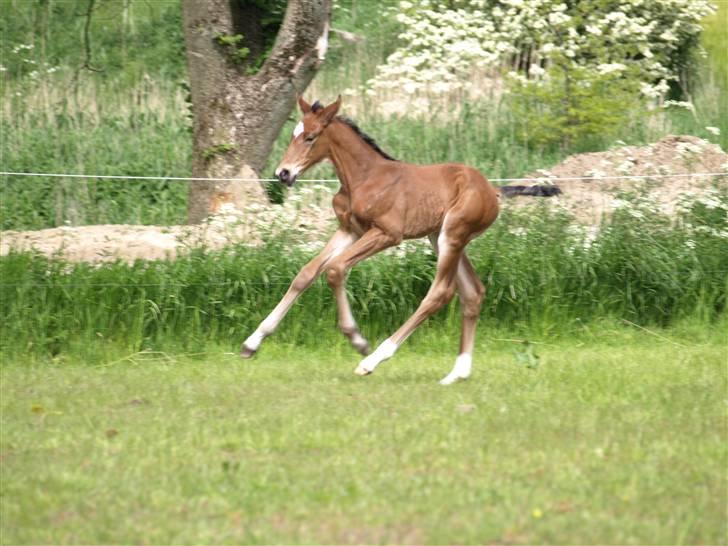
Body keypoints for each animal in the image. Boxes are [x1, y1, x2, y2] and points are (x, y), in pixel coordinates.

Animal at [242, 93, 504, 382]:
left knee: (441, 292)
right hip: (439, 237)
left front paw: (357, 339)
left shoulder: (387, 233)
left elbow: (335, 269)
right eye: (293, 135)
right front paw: (252, 342)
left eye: (310, 137)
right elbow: (306, 273)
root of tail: (491, 190)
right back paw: (457, 373)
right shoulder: (349, 230)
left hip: (452, 235)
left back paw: (372, 360)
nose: (283, 174)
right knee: (473, 292)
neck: (363, 178)